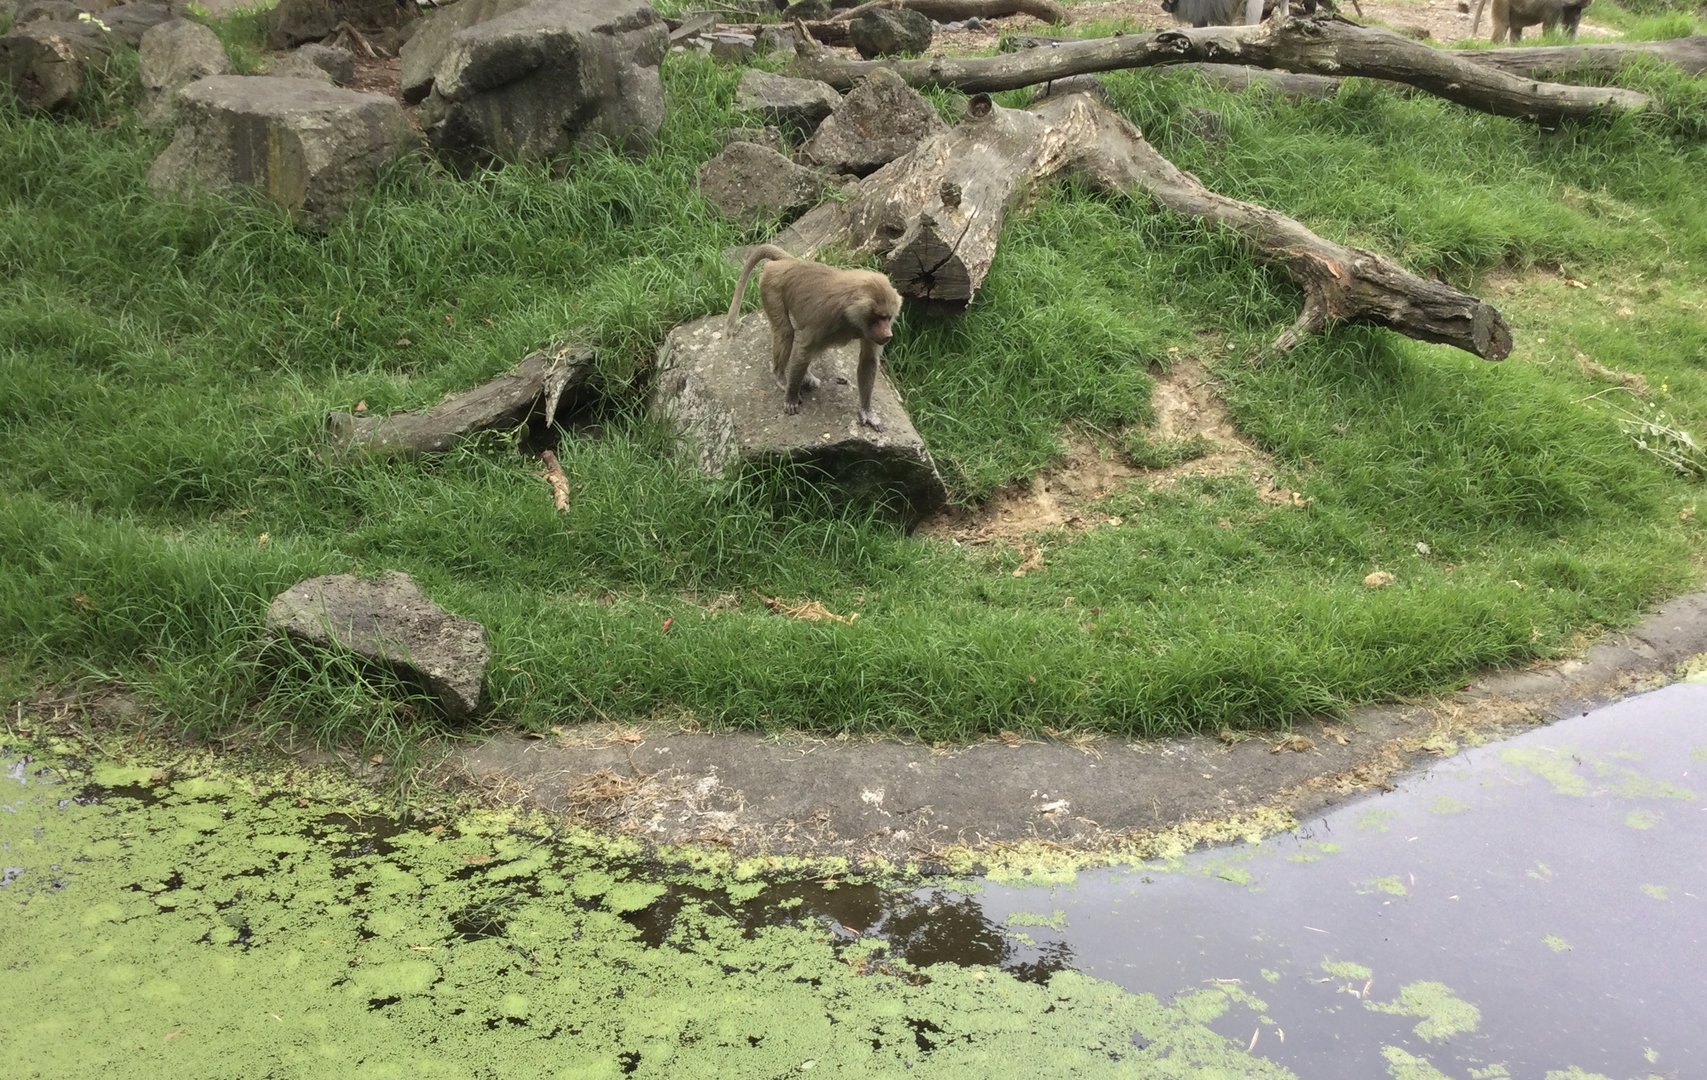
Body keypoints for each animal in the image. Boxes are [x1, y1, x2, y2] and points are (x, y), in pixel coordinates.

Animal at [725, 244, 903, 432]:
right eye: (879, 317)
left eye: (887, 317)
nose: (888, 335)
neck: (851, 311)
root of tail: (790, 262)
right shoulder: (827, 316)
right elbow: (803, 349)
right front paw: (791, 397)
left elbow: (868, 360)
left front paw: (867, 411)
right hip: (771, 287)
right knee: (786, 331)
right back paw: (781, 377)